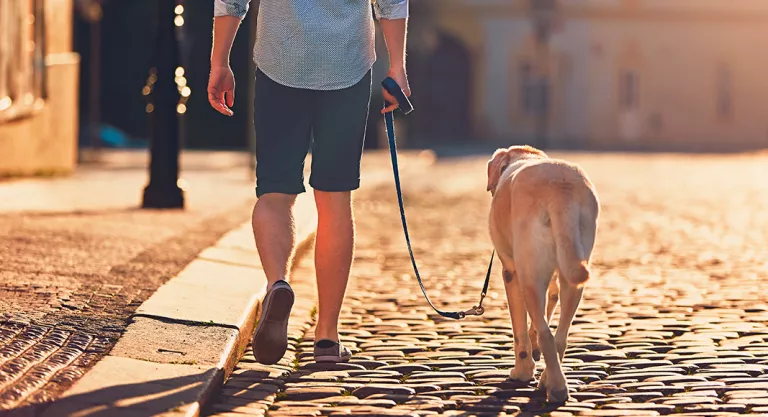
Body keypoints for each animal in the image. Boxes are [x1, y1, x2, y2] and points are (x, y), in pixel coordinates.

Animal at [486, 145, 600, 402]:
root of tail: (560, 189)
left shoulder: (511, 272)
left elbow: (520, 330)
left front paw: (522, 371)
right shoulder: (553, 277)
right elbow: (548, 306)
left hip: (529, 275)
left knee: (547, 334)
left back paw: (555, 387)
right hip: (573, 273)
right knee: (560, 335)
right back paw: (550, 379)